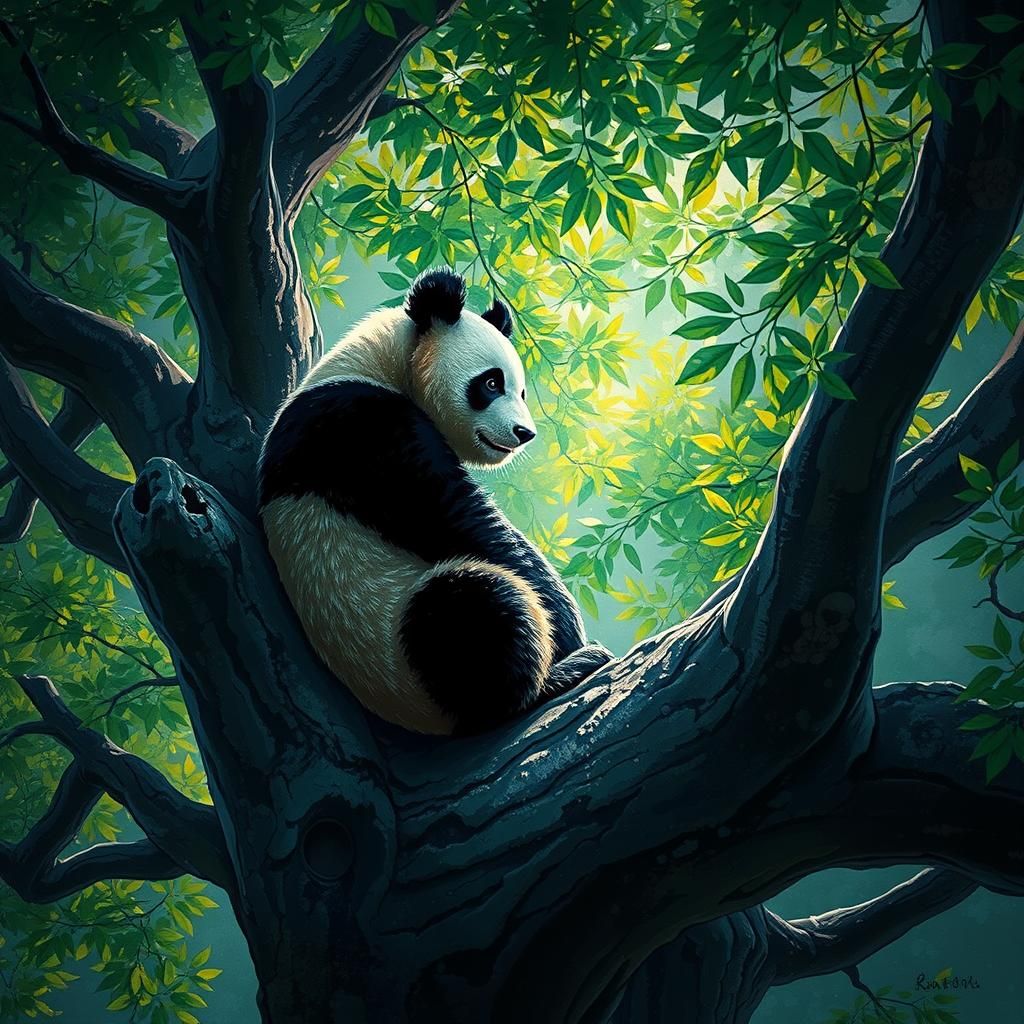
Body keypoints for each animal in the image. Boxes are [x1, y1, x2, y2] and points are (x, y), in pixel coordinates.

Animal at [258, 267, 612, 735]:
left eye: (521, 392)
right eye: (491, 383)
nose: (524, 434)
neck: (383, 362)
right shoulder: (361, 429)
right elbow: (462, 521)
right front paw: (570, 632)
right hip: (399, 650)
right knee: (470, 605)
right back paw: (552, 679)